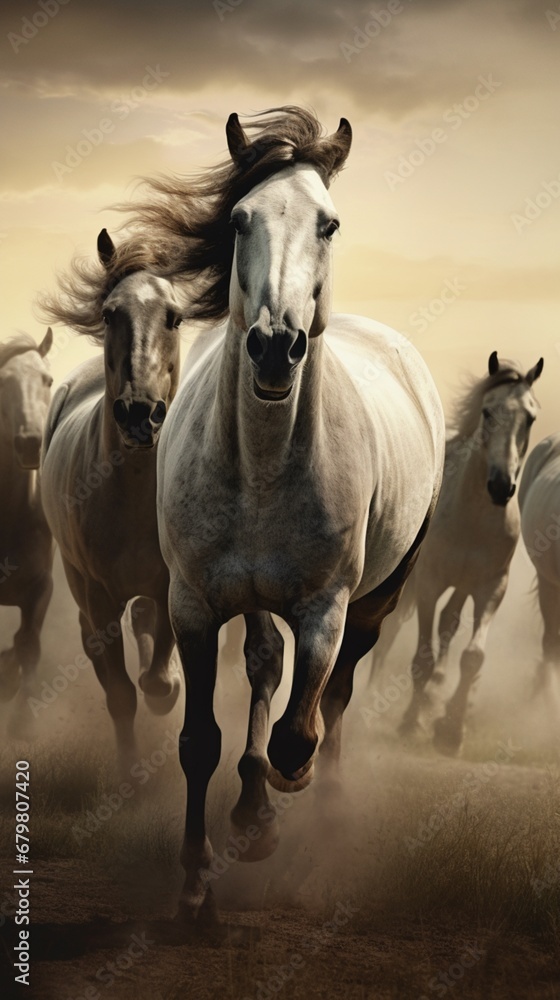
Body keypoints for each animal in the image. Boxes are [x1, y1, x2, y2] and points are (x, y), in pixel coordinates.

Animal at [40, 230, 184, 774]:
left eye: (174, 316)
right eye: (109, 314)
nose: (139, 412)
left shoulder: (171, 582)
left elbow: (159, 678)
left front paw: (168, 683)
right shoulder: (97, 596)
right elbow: (121, 692)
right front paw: (129, 773)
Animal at [123, 106, 445, 922]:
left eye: (328, 223)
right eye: (240, 220)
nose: (275, 347)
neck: (264, 466)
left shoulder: (324, 608)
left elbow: (301, 728)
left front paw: (278, 797)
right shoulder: (195, 604)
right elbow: (200, 739)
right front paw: (197, 879)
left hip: (378, 599)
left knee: (334, 699)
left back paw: (312, 809)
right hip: (252, 598)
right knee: (267, 668)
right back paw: (252, 812)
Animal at [399, 351, 543, 754]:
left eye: (530, 417)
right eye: (488, 412)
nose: (500, 486)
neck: (472, 517)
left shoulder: (490, 588)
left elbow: (473, 656)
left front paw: (451, 730)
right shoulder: (429, 584)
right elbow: (422, 658)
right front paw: (411, 724)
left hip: (462, 587)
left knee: (449, 624)